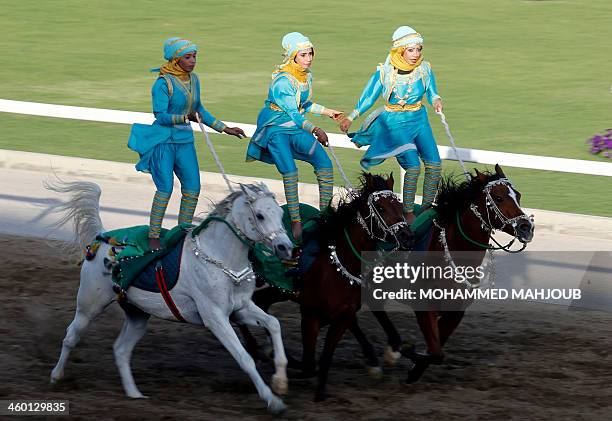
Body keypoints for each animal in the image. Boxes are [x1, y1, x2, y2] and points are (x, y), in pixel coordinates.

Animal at [47, 179, 292, 412]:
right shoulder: (215, 317)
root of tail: (103, 239)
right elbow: (245, 358)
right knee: (71, 336)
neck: (220, 258)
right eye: (260, 215)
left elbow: (274, 324)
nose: (285, 248)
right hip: (89, 306)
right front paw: (273, 401)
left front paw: (280, 383)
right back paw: (56, 376)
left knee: (121, 350)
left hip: (137, 315)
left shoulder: (240, 309)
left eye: (280, 214)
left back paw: (134, 394)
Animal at [239, 171, 412, 400]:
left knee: (261, 301)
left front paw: (320, 391)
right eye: (381, 208)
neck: (339, 266)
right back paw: (256, 348)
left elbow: (325, 357)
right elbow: (308, 364)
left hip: (280, 290)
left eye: (400, 207)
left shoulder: (342, 317)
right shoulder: (310, 315)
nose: (407, 237)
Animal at [352, 163, 532, 384]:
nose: (526, 227)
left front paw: (413, 367)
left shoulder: (455, 311)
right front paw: (408, 354)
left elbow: (437, 349)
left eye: (518, 195)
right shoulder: (423, 305)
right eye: (498, 198)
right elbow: (436, 352)